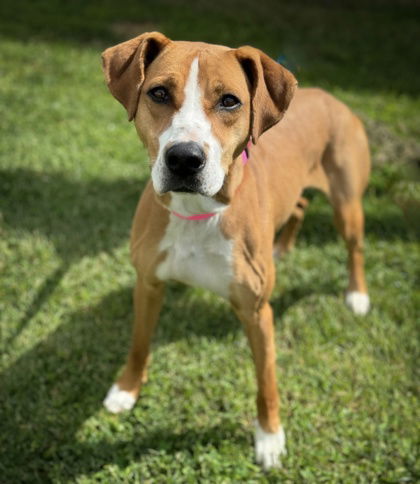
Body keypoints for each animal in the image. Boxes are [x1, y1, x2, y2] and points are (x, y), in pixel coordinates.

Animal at [100, 31, 370, 468]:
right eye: (158, 93)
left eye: (229, 100)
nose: (185, 158)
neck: (198, 211)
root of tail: (331, 97)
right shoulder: (148, 283)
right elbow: (139, 344)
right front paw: (126, 389)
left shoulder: (257, 311)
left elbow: (266, 381)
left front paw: (270, 437)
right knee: (298, 206)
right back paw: (283, 246)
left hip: (348, 205)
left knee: (354, 248)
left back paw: (357, 295)